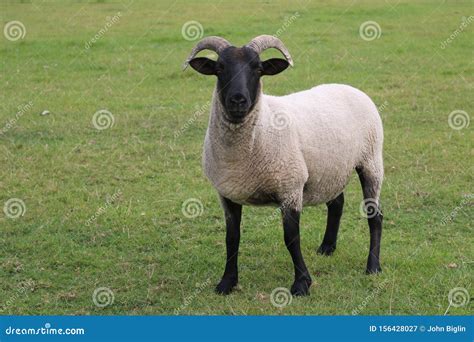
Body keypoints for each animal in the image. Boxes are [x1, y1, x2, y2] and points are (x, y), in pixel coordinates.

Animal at [183, 35, 384, 296]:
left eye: (258, 69)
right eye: (220, 68)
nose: (238, 100)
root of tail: (349, 87)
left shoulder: (290, 188)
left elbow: (291, 239)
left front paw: (301, 284)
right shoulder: (227, 193)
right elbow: (232, 238)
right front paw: (227, 282)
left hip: (371, 160)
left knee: (375, 216)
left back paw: (373, 266)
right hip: (330, 168)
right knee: (337, 203)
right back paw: (327, 247)